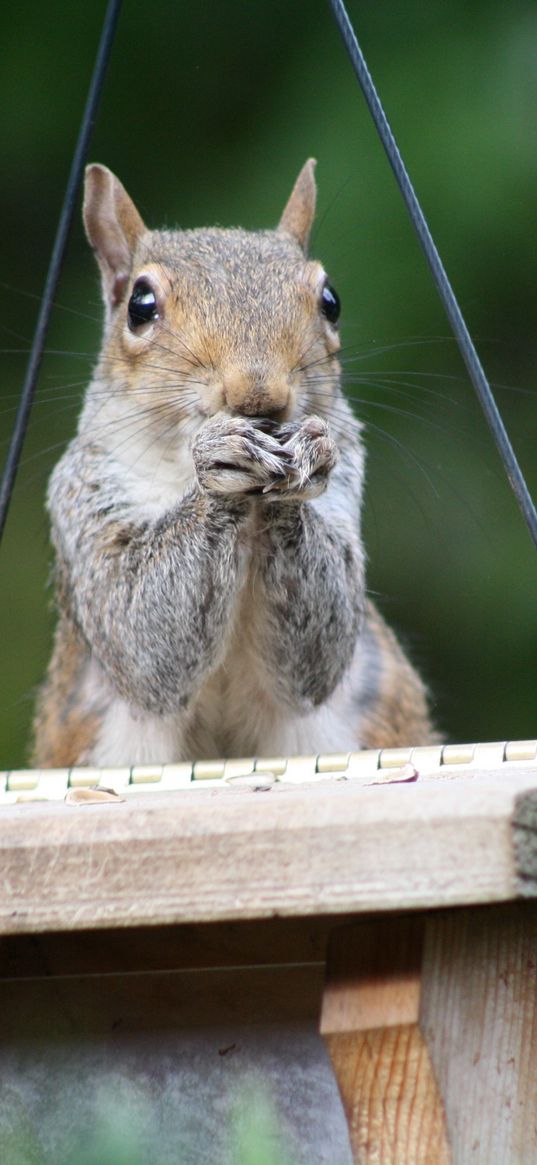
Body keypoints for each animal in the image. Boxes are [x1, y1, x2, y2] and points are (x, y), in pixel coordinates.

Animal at [31, 159, 435, 768]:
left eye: (331, 301)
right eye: (140, 306)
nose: (258, 395)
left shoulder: (347, 486)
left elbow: (321, 646)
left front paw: (304, 463)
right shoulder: (84, 497)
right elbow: (137, 632)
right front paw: (218, 466)